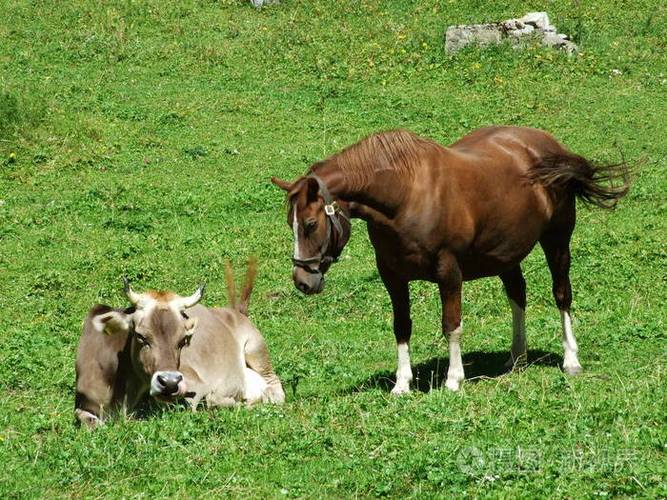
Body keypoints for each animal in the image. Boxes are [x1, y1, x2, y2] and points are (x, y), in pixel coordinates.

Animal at [75, 260, 284, 428]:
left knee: (274, 386)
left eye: (183, 340)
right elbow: (88, 421)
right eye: (141, 336)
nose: (169, 383)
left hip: (256, 348)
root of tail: (235, 311)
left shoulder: (197, 386)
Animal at [268, 126, 628, 394]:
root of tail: (549, 147)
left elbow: (451, 324)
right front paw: (402, 383)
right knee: (517, 294)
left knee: (561, 294)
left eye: (310, 224)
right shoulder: (392, 276)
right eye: (290, 223)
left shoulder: (448, 271)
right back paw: (517, 358)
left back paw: (571, 359)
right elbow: (402, 326)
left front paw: (454, 379)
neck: (406, 194)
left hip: (557, 239)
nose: (302, 281)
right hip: (505, 254)